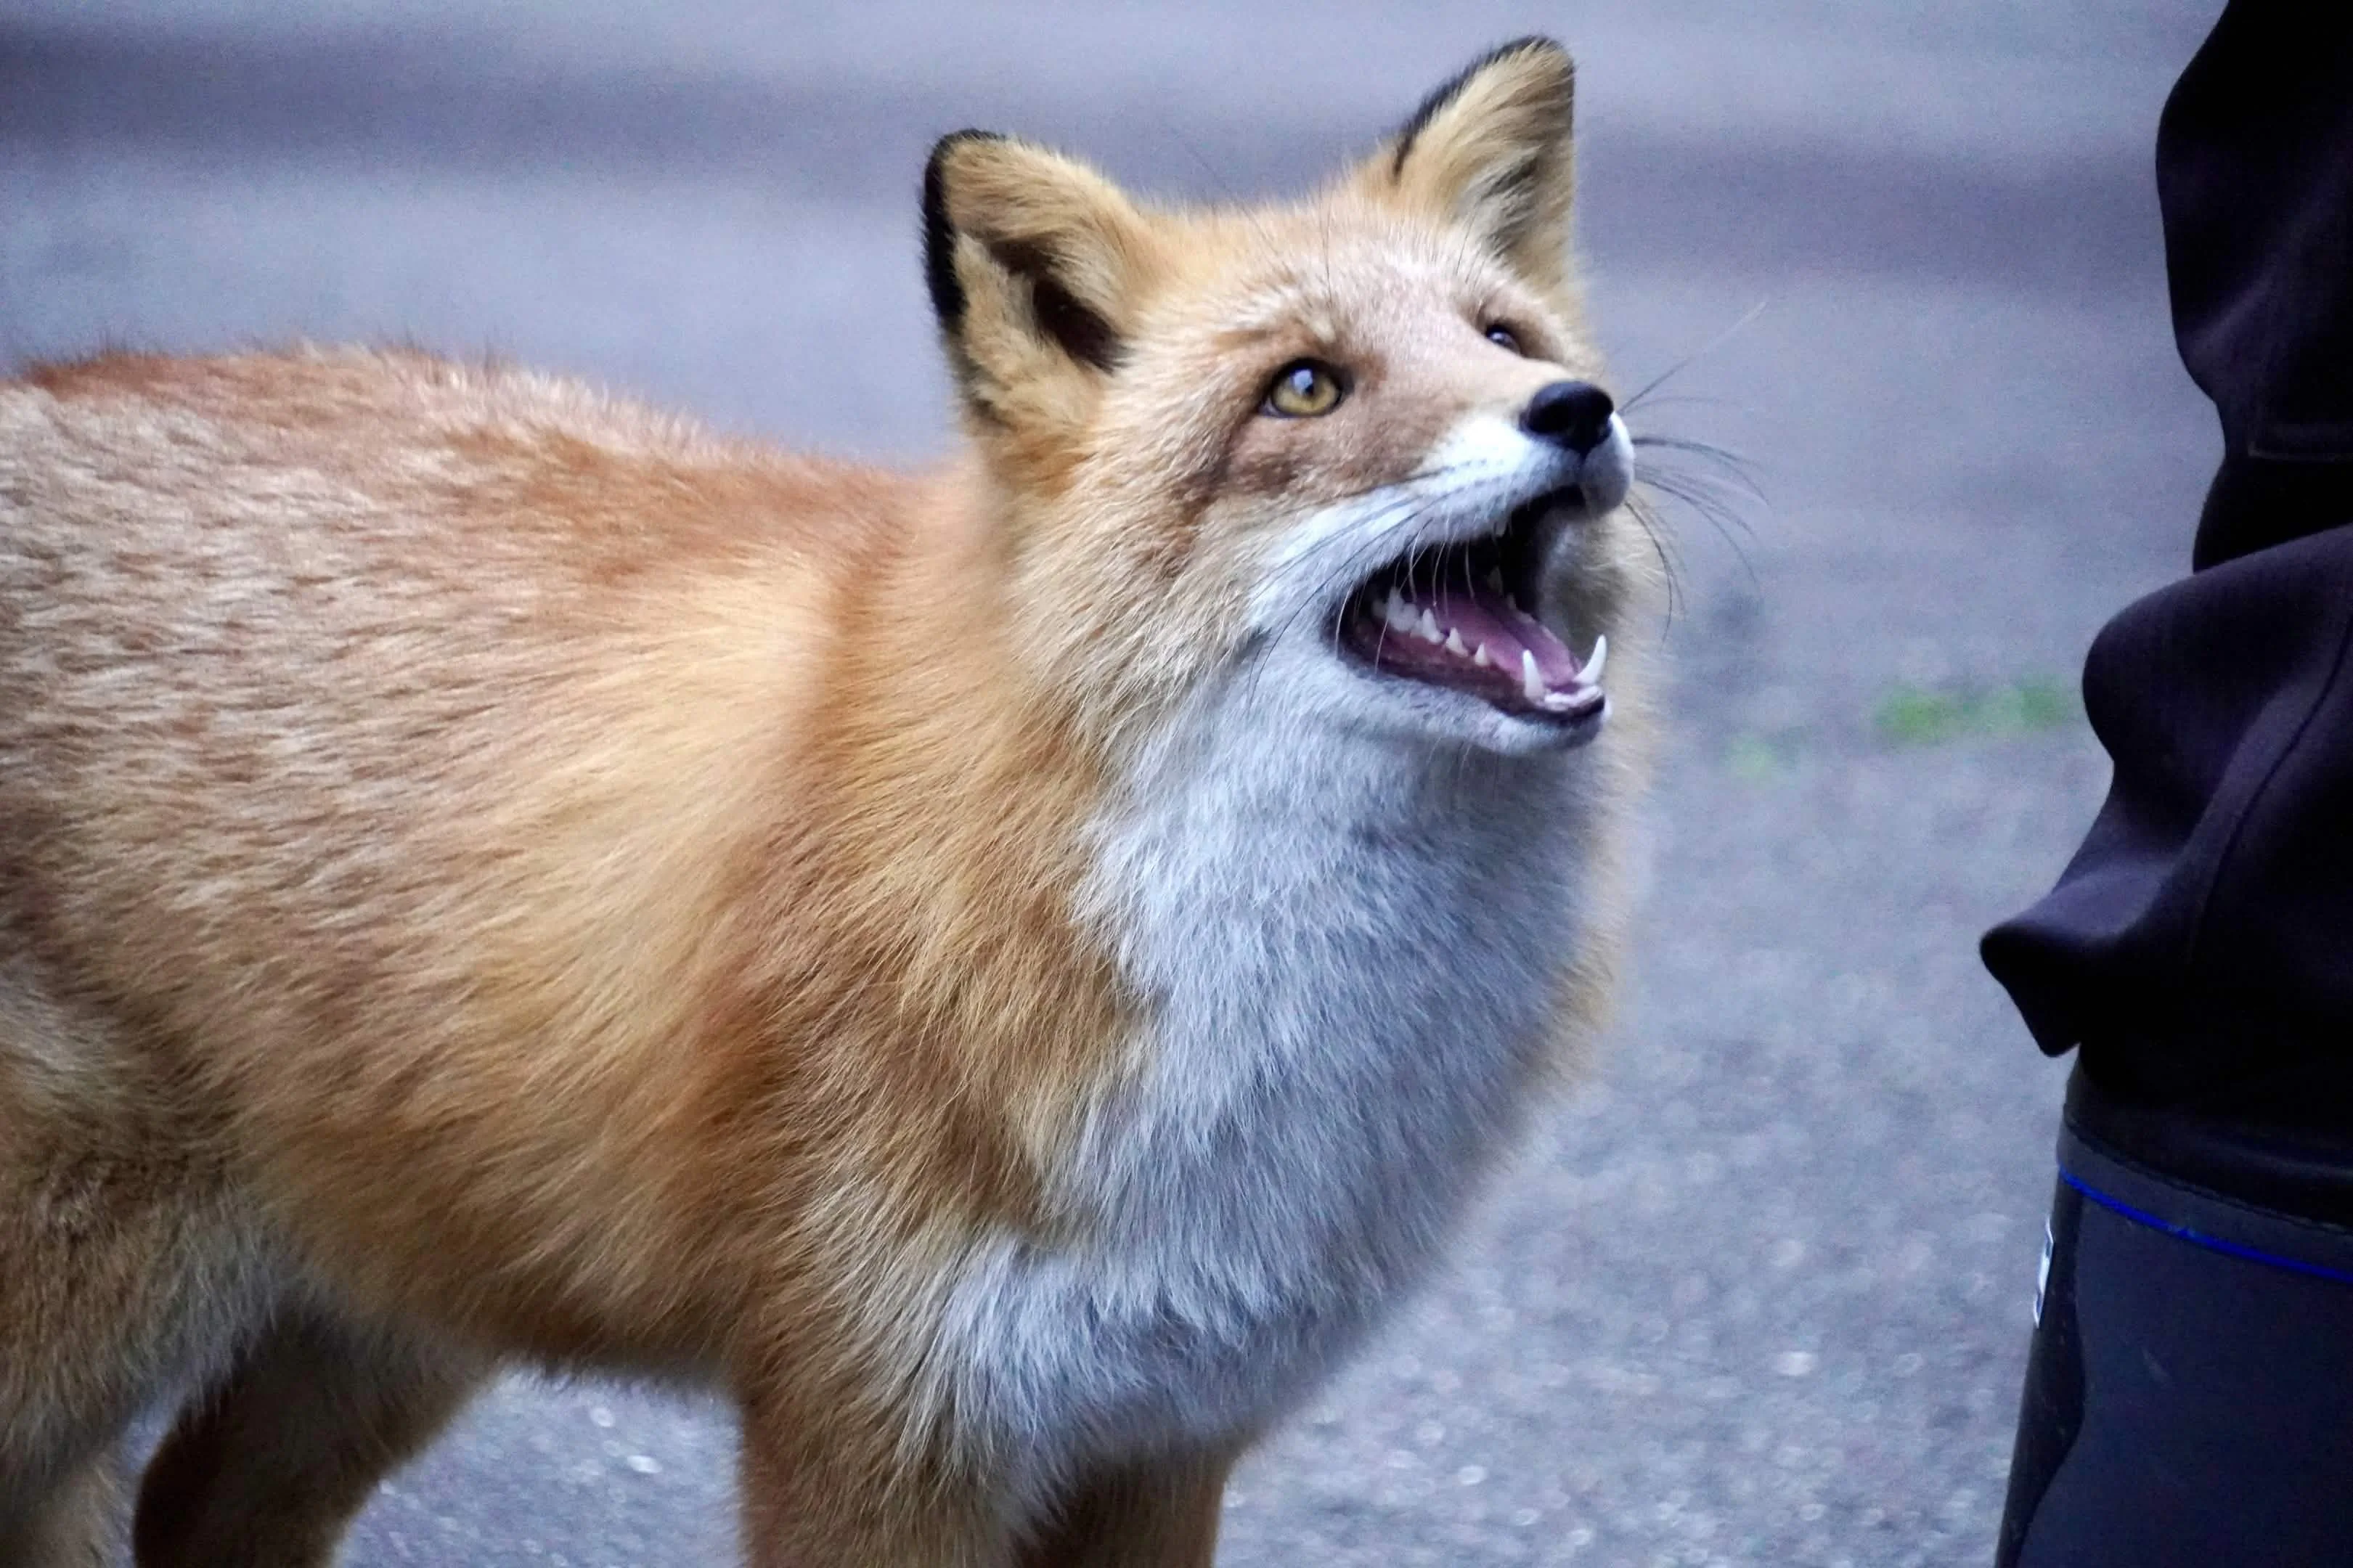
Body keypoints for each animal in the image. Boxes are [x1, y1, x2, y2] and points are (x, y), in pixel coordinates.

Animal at [0, 35, 1656, 1568]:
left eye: (1501, 336)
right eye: (1304, 388)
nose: (1579, 408)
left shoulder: (1164, 1437)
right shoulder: (879, 1419)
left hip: (404, 1315)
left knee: (194, 1508)